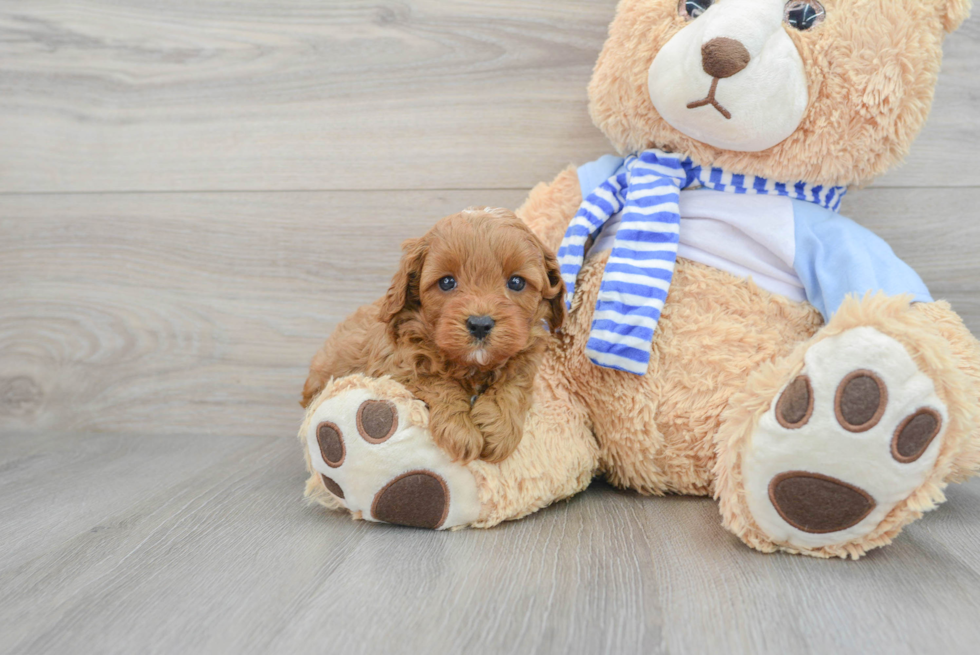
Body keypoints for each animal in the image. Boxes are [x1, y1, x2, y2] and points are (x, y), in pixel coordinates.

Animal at [304, 208, 568, 464]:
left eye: (516, 282)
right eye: (447, 282)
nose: (480, 324)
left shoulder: (525, 354)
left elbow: (513, 384)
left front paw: (499, 429)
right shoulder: (394, 367)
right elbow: (436, 382)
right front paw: (461, 431)